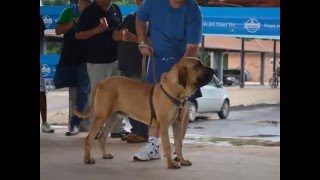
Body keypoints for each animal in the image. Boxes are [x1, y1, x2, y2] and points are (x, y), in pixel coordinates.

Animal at [73, 57, 214, 169]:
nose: (213, 70)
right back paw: (87, 159)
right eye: (197, 65)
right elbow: (168, 146)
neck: (175, 91)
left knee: (102, 137)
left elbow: (179, 144)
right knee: (89, 138)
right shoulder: (164, 126)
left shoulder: (178, 124)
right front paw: (171, 163)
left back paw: (105, 155)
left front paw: (182, 160)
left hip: (113, 118)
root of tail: (103, 82)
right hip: (101, 116)